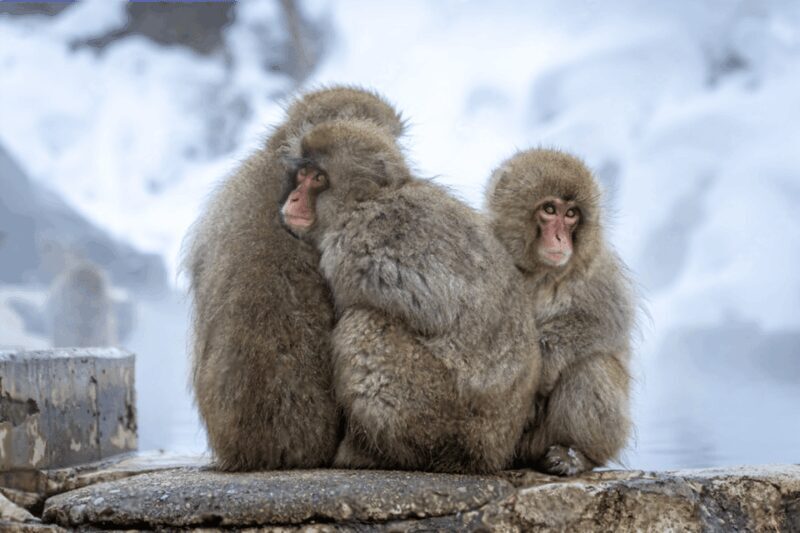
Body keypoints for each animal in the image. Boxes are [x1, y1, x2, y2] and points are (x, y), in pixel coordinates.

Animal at [280, 119, 541, 474]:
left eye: (318, 178)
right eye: (302, 175)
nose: (293, 198)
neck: (365, 201)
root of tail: (493, 450)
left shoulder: (352, 248)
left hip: (440, 412)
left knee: (362, 325)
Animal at [484, 148, 636, 476]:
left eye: (571, 214)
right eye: (550, 209)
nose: (559, 239)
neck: (539, 272)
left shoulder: (598, 268)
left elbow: (607, 322)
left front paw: (546, 361)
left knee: (591, 365)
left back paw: (575, 455)